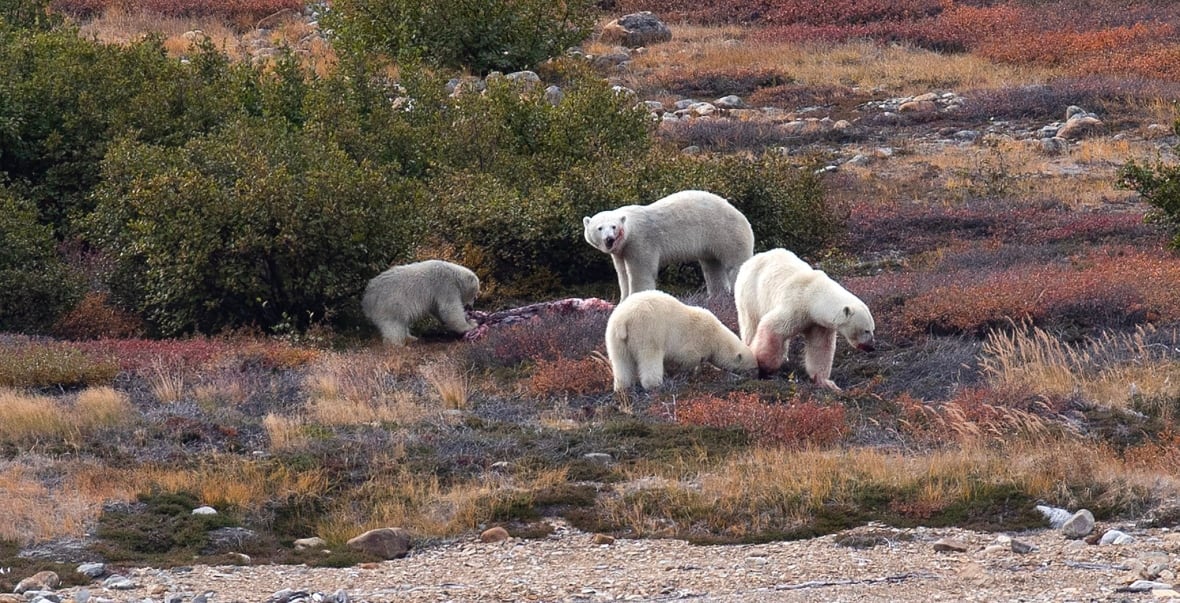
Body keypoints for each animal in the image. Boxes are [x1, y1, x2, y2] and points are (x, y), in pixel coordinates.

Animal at [583, 190, 754, 301]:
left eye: (613, 226)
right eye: (600, 228)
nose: (609, 239)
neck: (629, 230)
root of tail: (741, 215)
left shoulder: (639, 242)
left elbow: (640, 272)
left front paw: (636, 298)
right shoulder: (621, 251)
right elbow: (622, 274)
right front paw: (622, 300)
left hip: (726, 232)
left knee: (737, 261)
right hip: (711, 242)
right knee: (712, 266)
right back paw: (717, 297)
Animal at [605, 290, 756, 391]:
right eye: (753, 367)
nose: (755, 375)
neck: (715, 336)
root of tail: (623, 320)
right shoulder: (695, 341)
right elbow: (688, 359)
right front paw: (687, 373)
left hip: (615, 337)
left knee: (621, 360)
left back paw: (622, 387)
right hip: (647, 332)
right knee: (649, 357)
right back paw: (655, 384)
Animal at [734, 248, 875, 390]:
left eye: (873, 329)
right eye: (866, 330)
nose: (872, 347)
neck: (814, 296)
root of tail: (750, 261)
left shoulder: (818, 323)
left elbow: (820, 347)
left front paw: (827, 383)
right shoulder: (796, 306)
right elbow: (771, 327)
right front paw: (765, 368)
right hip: (750, 294)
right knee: (751, 325)